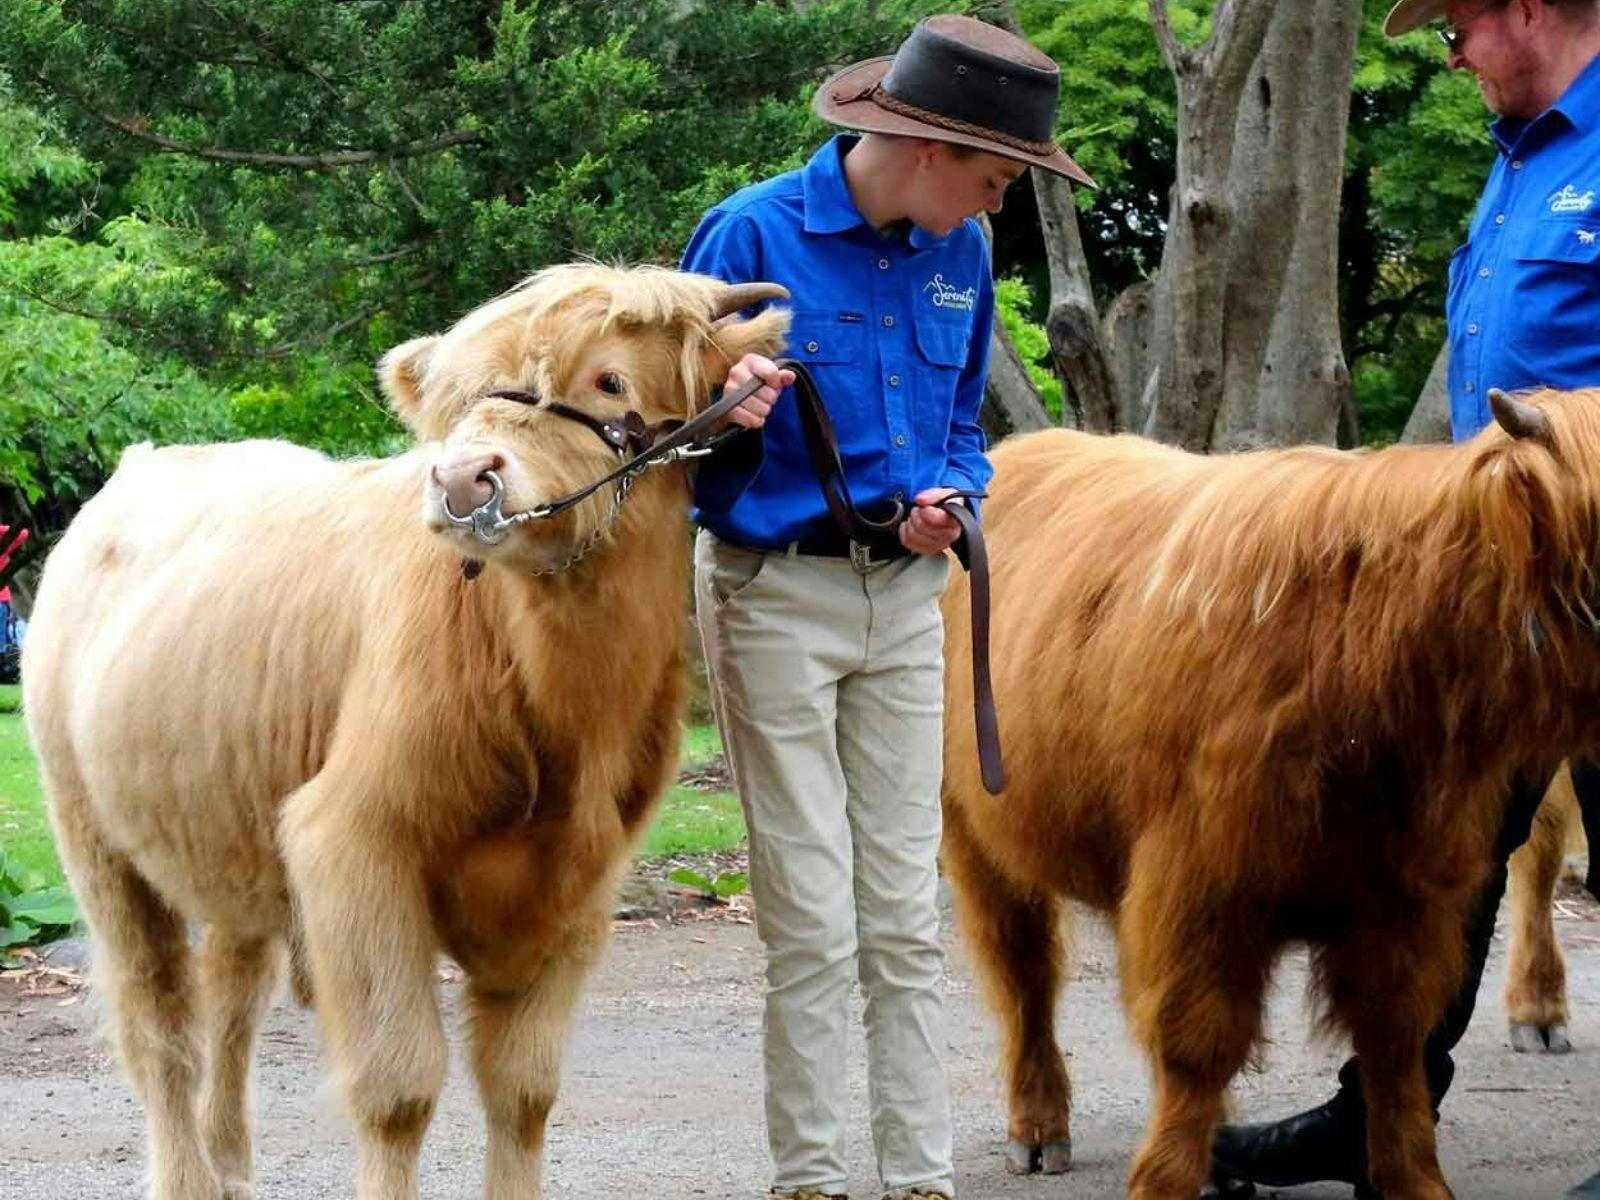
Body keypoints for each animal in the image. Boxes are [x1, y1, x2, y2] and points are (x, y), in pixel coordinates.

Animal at [20, 264, 788, 1200]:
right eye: (456, 407)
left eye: (609, 379)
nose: (462, 479)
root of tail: (147, 464)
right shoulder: (355, 847)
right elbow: (397, 1089)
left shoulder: (582, 884)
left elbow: (524, 1088)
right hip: (96, 846)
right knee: (159, 1027)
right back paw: (190, 1177)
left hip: (229, 829)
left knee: (232, 996)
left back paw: (232, 1164)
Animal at [939, 388, 1600, 1200]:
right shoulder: (1202, 884)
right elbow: (1196, 1040)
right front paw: (1164, 1179)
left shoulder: (1403, 896)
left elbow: (1394, 1042)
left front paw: (1413, 1179)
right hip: (976, 829)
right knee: (1024, 970)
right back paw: (1039, 1129)